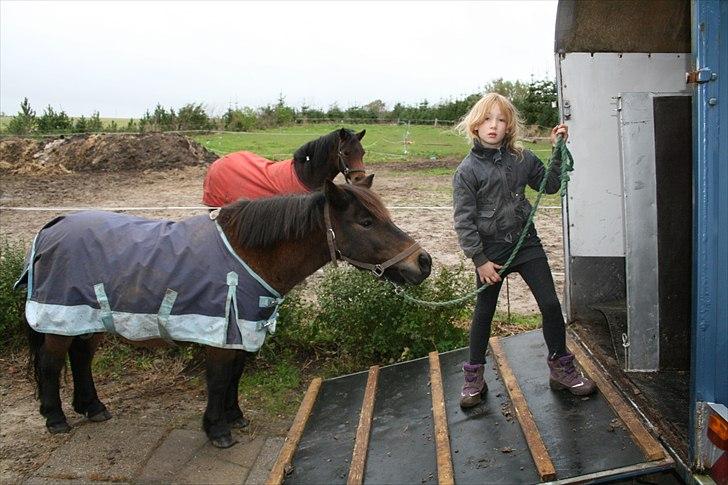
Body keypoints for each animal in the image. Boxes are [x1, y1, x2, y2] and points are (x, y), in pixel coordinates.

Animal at [24, 178, 432, 446]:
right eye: (366, 222)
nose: (423, 263)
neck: (248, 254)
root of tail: (50, 229)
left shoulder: (245, 329)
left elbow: (236, 375)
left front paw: (234, 417)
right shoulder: (221, 331)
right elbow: (220, 379)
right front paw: (217, 429)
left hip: (86, 318)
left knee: (80, 358)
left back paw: (92, 407)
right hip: (59, 319)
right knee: (50, 364)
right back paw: (56, 418)